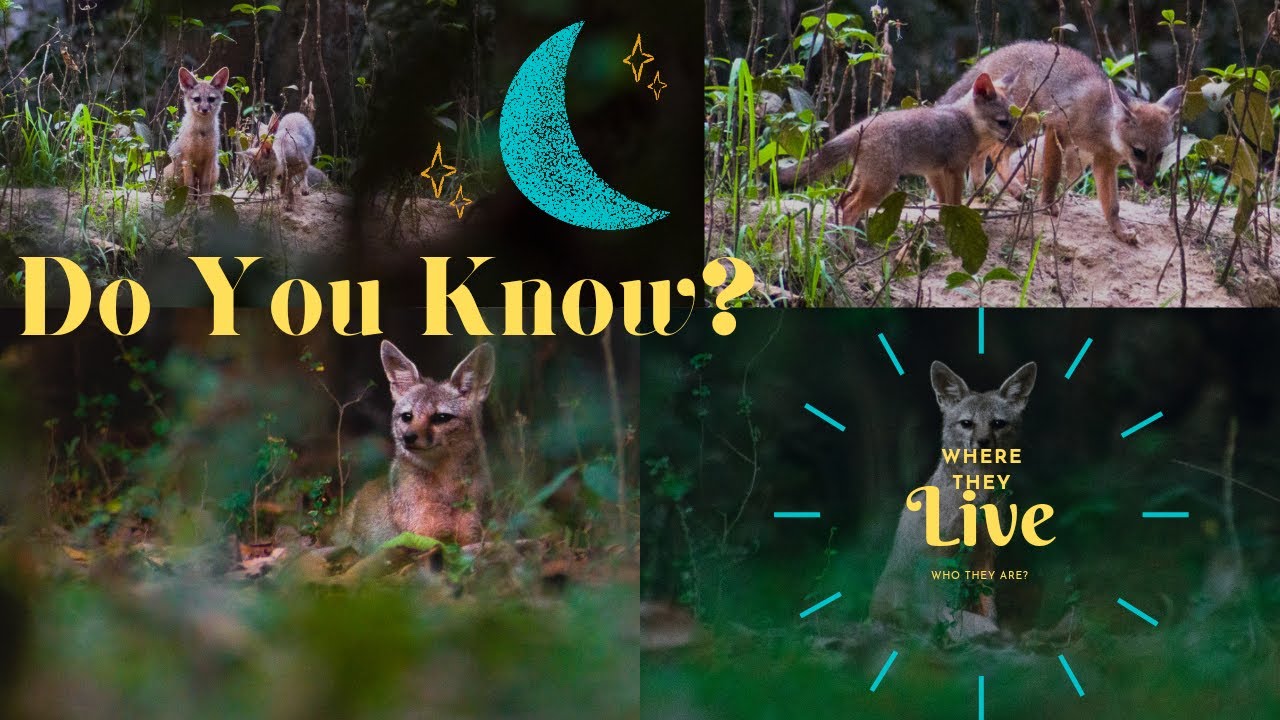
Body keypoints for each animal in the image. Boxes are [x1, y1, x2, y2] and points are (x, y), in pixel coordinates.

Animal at [162, 66, 230, 198]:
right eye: (197, 99)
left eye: (211, 99)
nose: (204, 109)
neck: (201, 133)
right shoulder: (187, 157)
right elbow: (188, 184)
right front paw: (188, 200)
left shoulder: (209, 157)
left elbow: (205, 183)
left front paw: (205, 200)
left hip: (215, 170)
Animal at [334, 341, 495, 554]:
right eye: (407, 416)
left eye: (441, 417)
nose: (408, 437)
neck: (446, 491)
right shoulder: (422, 535)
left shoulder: (470, 535)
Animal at [777, 71, 1027, 226]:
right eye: (1003, 122)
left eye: (1016, 120)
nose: (1021, 143)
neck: (964, 121)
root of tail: (860, 127)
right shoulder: (955, 170)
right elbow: (955, 203)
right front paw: (958, 222)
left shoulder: (933, 173)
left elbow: (943, 203)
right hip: (881, 184)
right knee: (850, 208)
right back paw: (851, 250)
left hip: (863, 178)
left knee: (842, 202)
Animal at [869, 360, 1037, 641]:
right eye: (967, 423)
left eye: (998, 423)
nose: (983, 442)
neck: (977, 495)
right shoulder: (942, 550)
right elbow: (946, 602)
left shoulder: (985, 551)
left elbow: (987, 605)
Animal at [940, 41, 1184, 244]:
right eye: (1138, 152)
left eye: (1160, 154)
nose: (1149, 182)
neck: (1101, 126)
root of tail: (999, 52)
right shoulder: (1056, 131)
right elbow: (1052, 175)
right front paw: (1048, 205)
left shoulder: (1104, 164)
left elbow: (1112, 206)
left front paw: (1120, 231)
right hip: (1025, 126)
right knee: (994, 154)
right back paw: (1015, 190)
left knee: (981, 155)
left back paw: (985, 190)